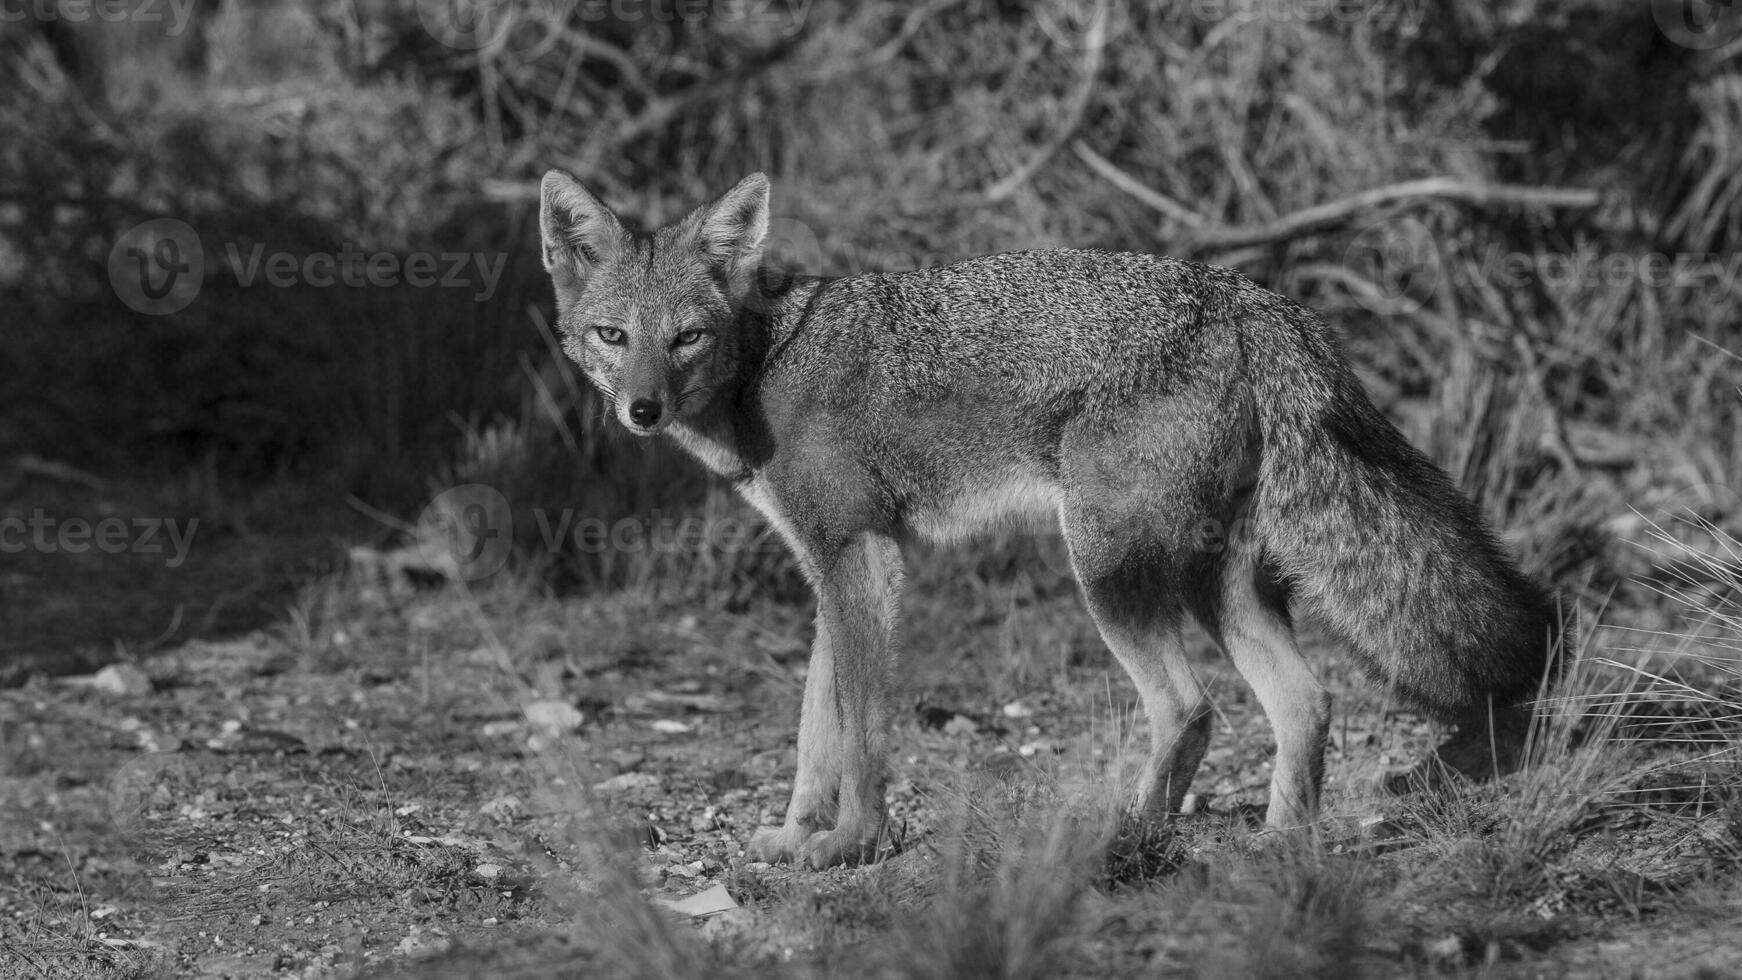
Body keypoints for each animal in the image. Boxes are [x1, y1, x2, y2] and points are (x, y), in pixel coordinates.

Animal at [533, 172, 1567, 870]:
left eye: (686, 338)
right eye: (613, 337)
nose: (642, 410)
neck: (763, 370)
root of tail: (1255, 300)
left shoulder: (864, 561)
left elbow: (860, 734)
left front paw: (852, 843)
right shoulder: (832, 571)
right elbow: (814, 730)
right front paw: (795, 835)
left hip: (1105, 570)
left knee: (1189, 708)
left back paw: (1131, 837)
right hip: (1212, 584)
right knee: (1304, 702)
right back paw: (1276, 847)